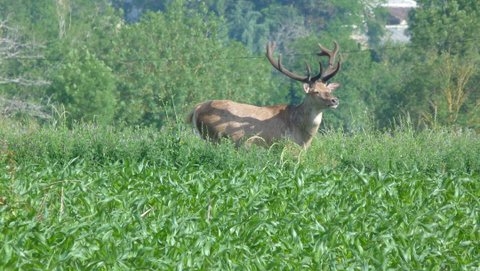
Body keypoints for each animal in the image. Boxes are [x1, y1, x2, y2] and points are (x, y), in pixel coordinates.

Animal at [187, 41, 342, 149]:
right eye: (315, 91)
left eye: (328, 89)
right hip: (213, 136)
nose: (334, 100)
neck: (303, 136)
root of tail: (197, 108)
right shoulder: (280, 144)